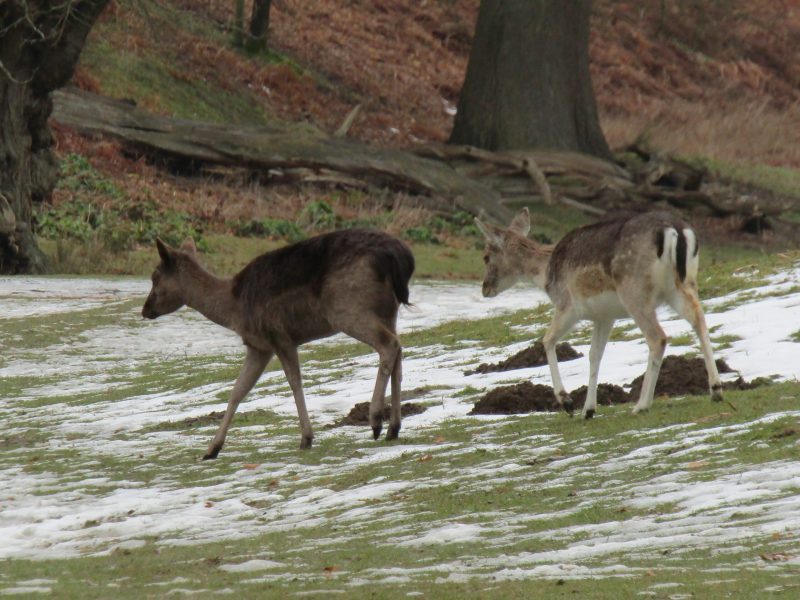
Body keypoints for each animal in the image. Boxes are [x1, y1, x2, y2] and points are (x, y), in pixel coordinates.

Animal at [143, 230, 416, 460]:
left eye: (155, 278)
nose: (145, 310)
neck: (233, 309)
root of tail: (399, 257)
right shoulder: (259, 346)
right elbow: (238, 391)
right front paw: (211, 449)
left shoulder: (278, 336)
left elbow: (294, 382)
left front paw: (306, 438)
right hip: (387, 310)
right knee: (399, 351)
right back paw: (394, 427)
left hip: (348, 308)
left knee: (389, 345)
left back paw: (376, 421)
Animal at [476, 209, 724, 420]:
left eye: (486, 256)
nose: (484, 288)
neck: (545, 273)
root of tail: (675, 231)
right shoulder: (604, 316)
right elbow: (594, 354)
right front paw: (588, 409)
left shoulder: (568, 306)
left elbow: (547, 340)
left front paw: (567, 403)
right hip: (682, 285)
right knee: (698, 317)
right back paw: (716, 389)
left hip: (634, 292)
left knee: (658, 337)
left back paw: (642, 404)